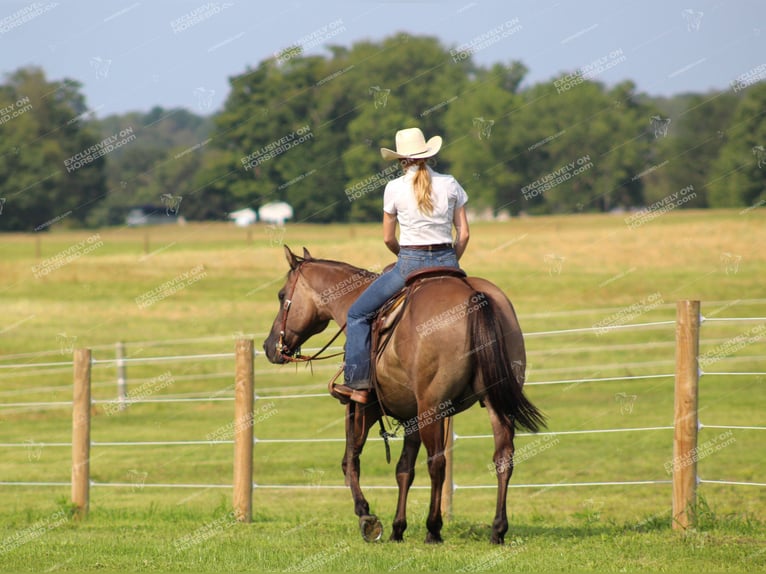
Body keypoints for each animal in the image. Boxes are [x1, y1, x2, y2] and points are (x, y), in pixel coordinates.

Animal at [264, 245, 544, 548]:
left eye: (281, 295)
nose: (269, 346)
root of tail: (473, 295)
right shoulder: (411, 415)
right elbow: (404, 469)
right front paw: (398, 528)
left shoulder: (363, 407)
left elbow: (350, 460)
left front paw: (367, 517)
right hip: (493, 404)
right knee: (503, 458)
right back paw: (497, 530)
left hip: (432, 406)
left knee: (437, 463)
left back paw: (433, 529)